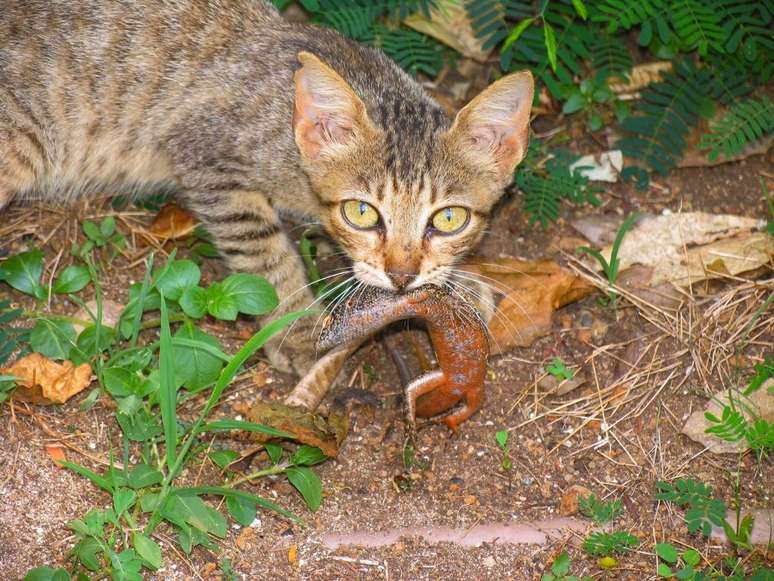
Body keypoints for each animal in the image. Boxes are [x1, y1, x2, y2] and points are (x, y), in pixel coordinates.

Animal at [0, 0, 532, 374]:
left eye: (449, 218)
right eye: (361, 212)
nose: (401, 278)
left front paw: (461, 286)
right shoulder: (206, 158)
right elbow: (265, 255)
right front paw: (295, 329)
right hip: (20, 144)